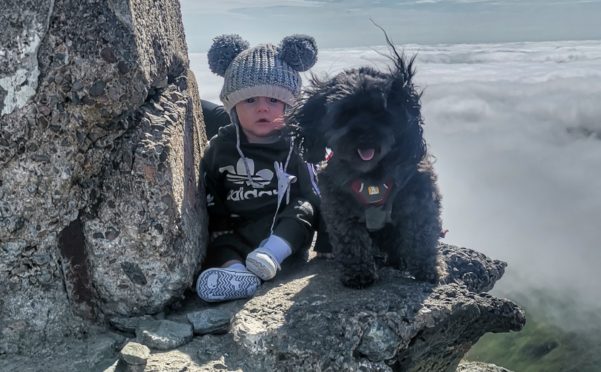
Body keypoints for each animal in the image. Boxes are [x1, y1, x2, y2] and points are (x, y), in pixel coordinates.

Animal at [286, 42, 446, 288]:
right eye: (344, 113)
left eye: (381, 113)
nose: (364, 134)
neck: (372, 175)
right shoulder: (339, 206)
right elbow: (351, 241)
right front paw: (358, 274)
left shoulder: (419, 196)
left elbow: (422, 234)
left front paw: (427, 270)